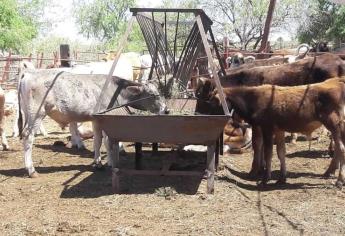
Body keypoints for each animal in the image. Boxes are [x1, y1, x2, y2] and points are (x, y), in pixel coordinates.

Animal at [210, 78, 345, 187]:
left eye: (213, 102)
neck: (253, 98)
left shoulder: (267, 128)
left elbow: (268, 153)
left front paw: (265, 178)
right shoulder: (279, 130)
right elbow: (281, 152)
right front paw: (281, 178)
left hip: (334, 124)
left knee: (341, 149)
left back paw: (339, 180)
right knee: (338, 149)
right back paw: (329, 172)